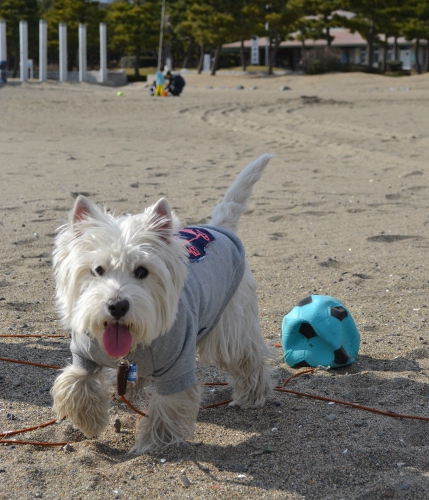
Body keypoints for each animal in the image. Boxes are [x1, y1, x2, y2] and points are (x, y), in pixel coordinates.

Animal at [51, 154, 272, 456]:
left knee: (248, 357)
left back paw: (252, 395)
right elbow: (75, 383)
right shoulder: (84, 352)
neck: (133, 346)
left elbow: (168, 406)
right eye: (97, 270)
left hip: (230, 324)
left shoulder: (178, 365)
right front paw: (91, 422)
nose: (117, 306)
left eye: (142, 271)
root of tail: (220, 229)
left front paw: (151, 443)